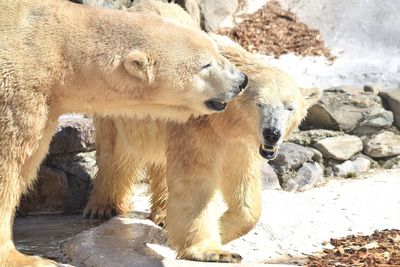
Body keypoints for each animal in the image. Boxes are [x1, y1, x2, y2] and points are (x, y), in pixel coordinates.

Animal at [0, 1, 247, 266]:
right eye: (206, 65)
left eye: (217, 52)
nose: (242, 81)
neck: (56, 48)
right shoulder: (17, 93)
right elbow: (9, 168)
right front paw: (26, 258)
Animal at [85, 0, 322, 264]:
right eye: (260, 104)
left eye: (289, 107)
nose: (272, 133)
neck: (227, 120)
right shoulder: (197, 126)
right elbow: (195, 183)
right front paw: (212, 251)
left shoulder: (240, 143)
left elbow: (242, 184)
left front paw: (222, 229)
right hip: (116, 104)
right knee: (117, 152)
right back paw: (103, 206)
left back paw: (162, 214)